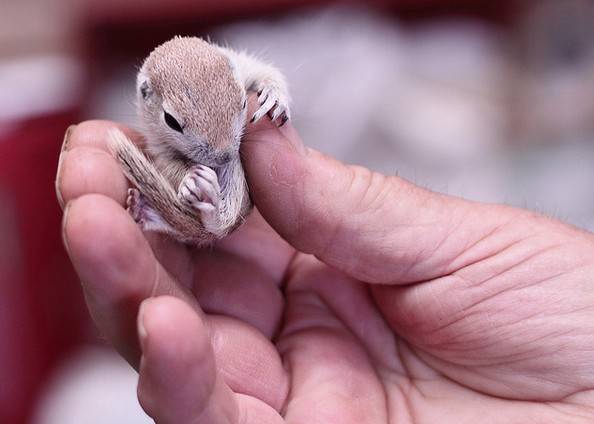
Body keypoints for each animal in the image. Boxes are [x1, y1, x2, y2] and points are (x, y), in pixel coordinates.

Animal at [109, 38, 292, 247]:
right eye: (171, 121)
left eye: (244, 102)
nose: (225, 156)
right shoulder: (158, 144)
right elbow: (169, 165)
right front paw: (190, 179)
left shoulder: (245, 66)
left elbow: (266, 72)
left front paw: (273, 97)